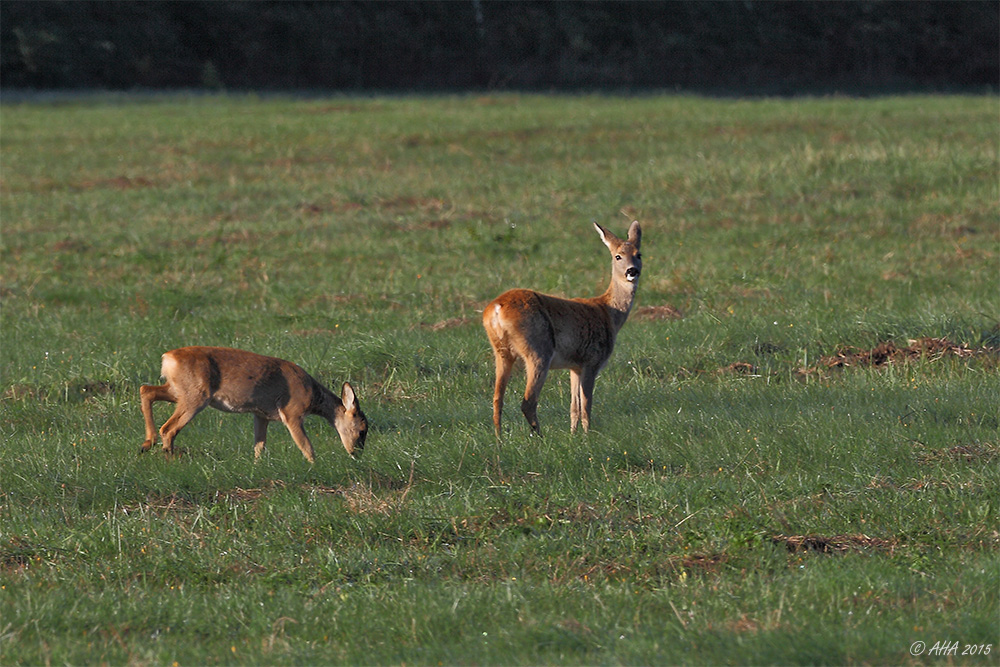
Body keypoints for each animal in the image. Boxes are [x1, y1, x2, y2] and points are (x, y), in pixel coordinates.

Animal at [136, 348, 364, 462]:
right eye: (362, 429)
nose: (357, 453)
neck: (313, 395)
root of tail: (168, 357)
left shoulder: (261, 415)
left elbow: (259, 446)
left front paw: (257, 466)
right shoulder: (292, 412)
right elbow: (306, 446)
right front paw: (314, 466)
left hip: (178, 391)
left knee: (146, 390)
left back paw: (146, 443)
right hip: (195, 396)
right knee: (168, 428)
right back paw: (168, 458)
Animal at [482, 220, 640, 438]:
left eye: (638, 254)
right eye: (618, 256)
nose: (632, 271)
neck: (609, 312)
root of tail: (496, 308)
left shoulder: (574, 366)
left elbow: (574, 406)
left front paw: (574, 435)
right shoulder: (591, 360)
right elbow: (587, 405)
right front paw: (587, 436)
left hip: (502, 351)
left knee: (497, 398)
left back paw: (499, 439)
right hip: (538, 350)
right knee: (528, 401)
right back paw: (540, 438)